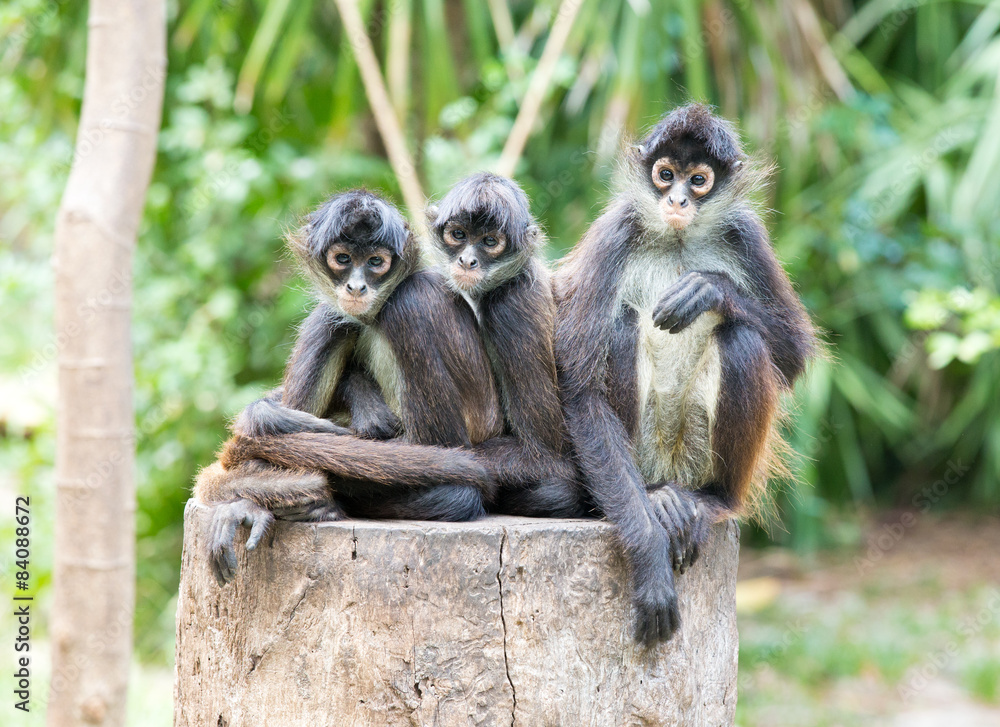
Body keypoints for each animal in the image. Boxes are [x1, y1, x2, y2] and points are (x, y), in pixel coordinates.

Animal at [195, 189, 507, 583]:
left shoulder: (416, 298)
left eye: (376, 262)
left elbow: (441, 448)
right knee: (332, 318)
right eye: (343, 259)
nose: (356, 286)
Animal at [554, 104, 816, 645]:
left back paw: (711, 502)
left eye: (698, 180)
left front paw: (711, 290)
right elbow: (581, 391)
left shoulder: (747, 232)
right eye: (665, 174)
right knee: (620, 326)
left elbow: (793, 356)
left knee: (742, 340)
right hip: (644, 452)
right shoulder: (617, 228)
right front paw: (650, 561)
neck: (677, 239)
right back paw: (657, 500)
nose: (676, 199)